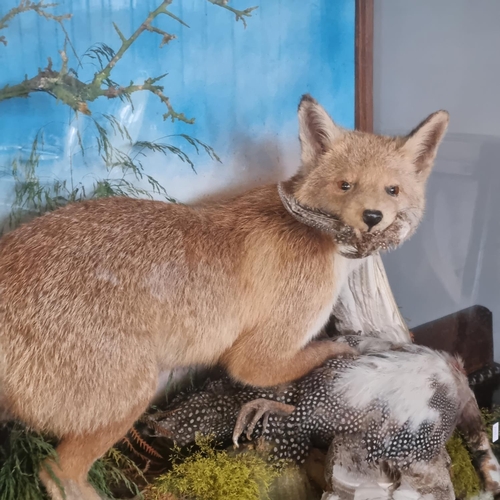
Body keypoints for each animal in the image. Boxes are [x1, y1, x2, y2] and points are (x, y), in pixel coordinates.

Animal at [0, 94, 450, 500]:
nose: (372, 217)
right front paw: (344, 351)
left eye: (392, 190)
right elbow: (302, 358)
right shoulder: (260, 355)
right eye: (345, 185)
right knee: (57, 472)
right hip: (130, 397)